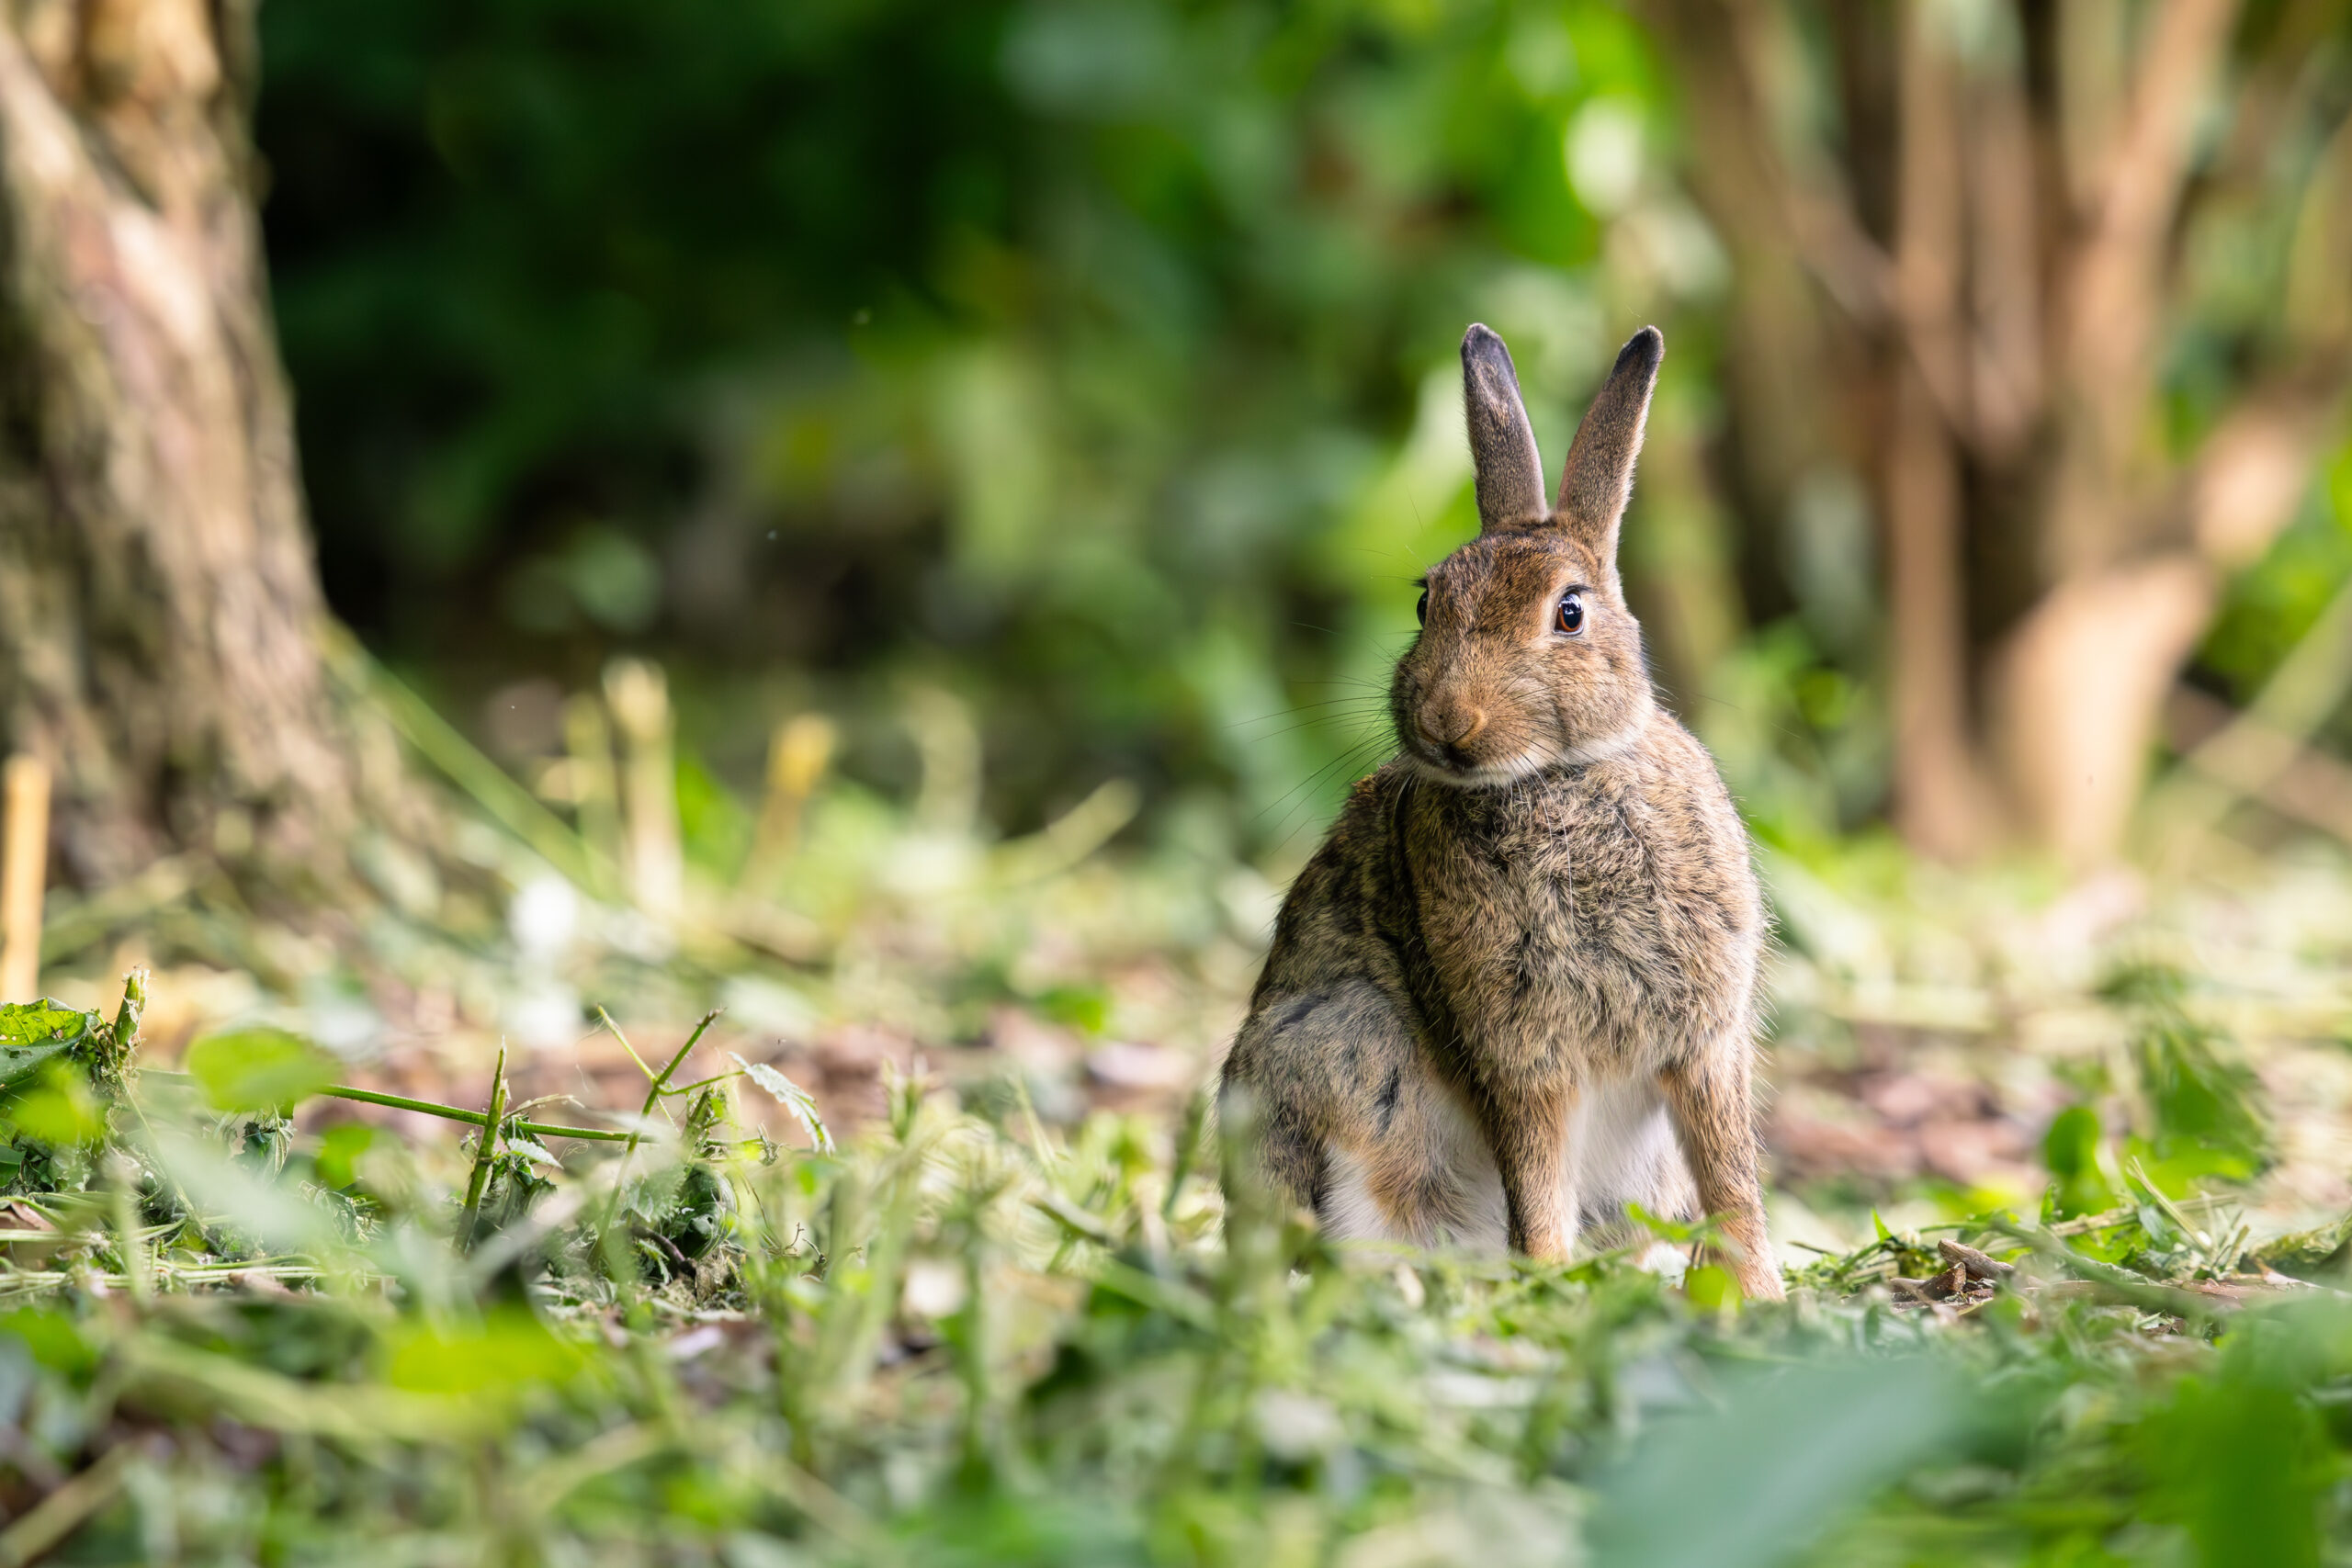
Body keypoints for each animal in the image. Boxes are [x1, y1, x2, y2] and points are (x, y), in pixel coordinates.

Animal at [1213, 320, 1778, 1297]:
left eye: (1570, 613)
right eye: (1425, 601)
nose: (1448, 721)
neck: (1556, 779)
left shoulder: (1701, 1043)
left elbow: (1732, 1178)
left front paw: (1758, 1294)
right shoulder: (1519, 1057)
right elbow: (1538, 1185)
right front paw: (1549, 1283)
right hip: (1340, 1050)